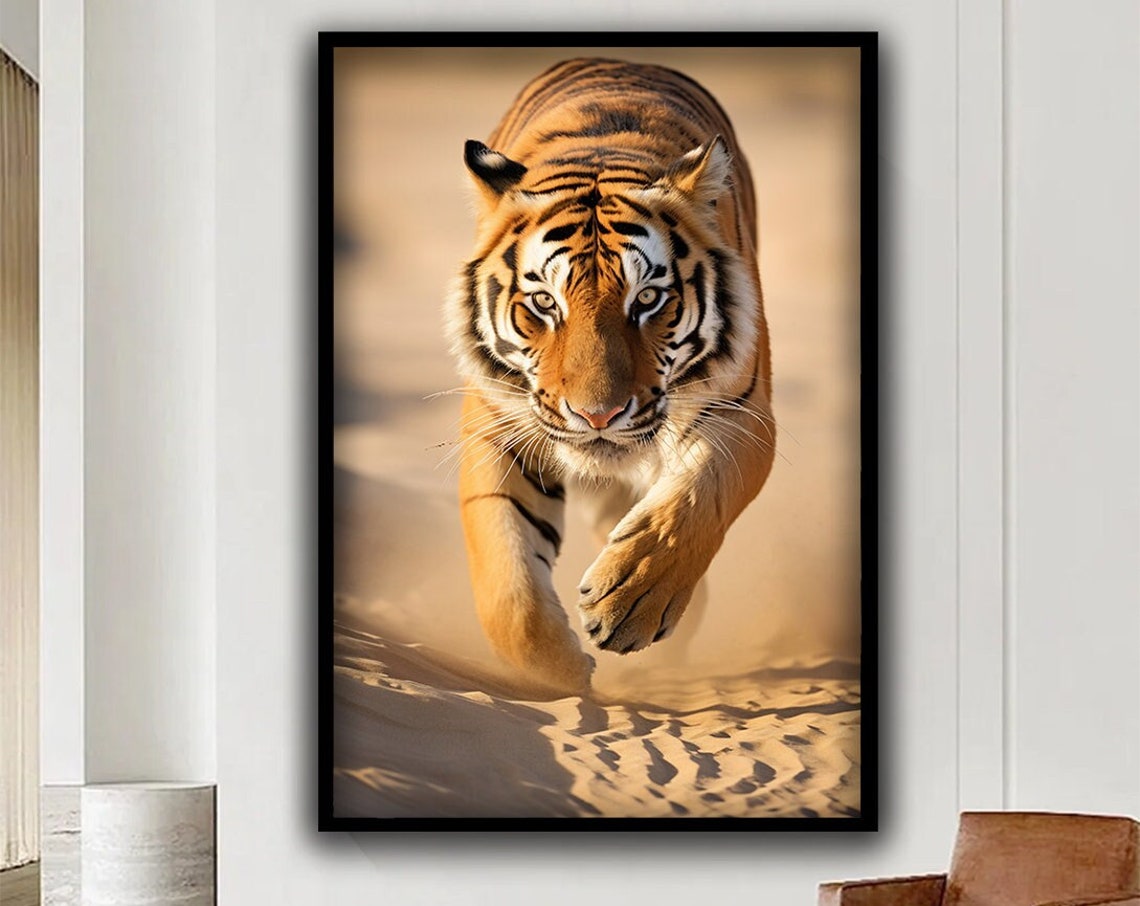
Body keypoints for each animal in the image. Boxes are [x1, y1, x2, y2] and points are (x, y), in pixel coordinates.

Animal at [446, 58, 775, 694]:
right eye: (544, 303)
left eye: (647, 299)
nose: (597, 415)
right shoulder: (499, 426)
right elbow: (507, 587)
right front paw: (565, 670)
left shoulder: (743, 411)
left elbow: (693, 502)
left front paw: (630, 602)